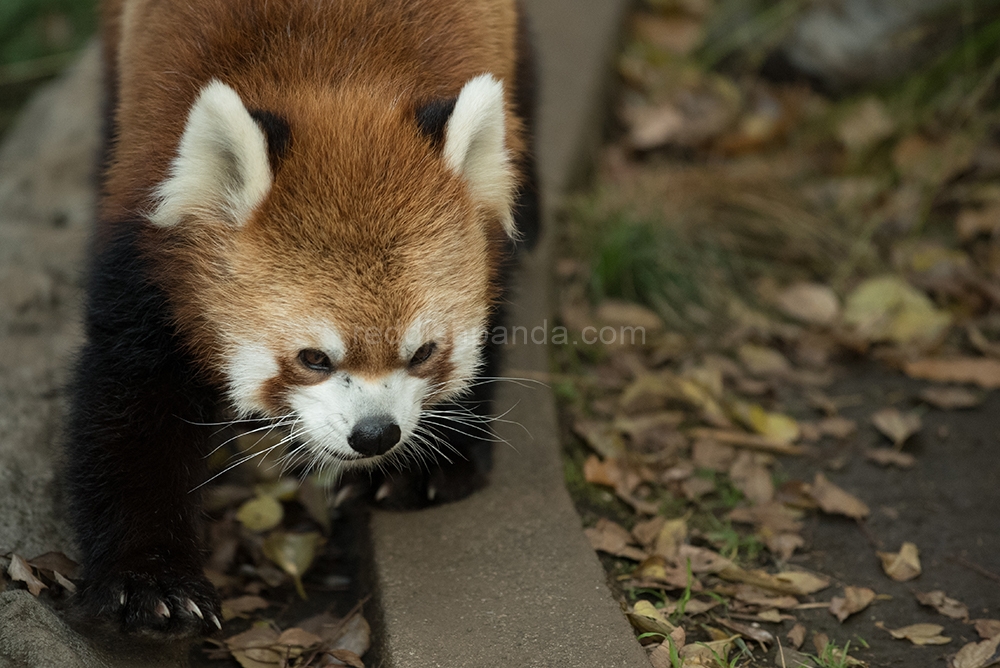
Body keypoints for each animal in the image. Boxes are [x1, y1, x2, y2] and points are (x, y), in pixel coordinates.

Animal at [68, 0, 540, 636]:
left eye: (423, 353)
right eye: (313, 358)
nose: (375, 434)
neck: (338, 81)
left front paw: (432, 462)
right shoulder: (145, 259)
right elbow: (131, 412)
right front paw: (149, 583)